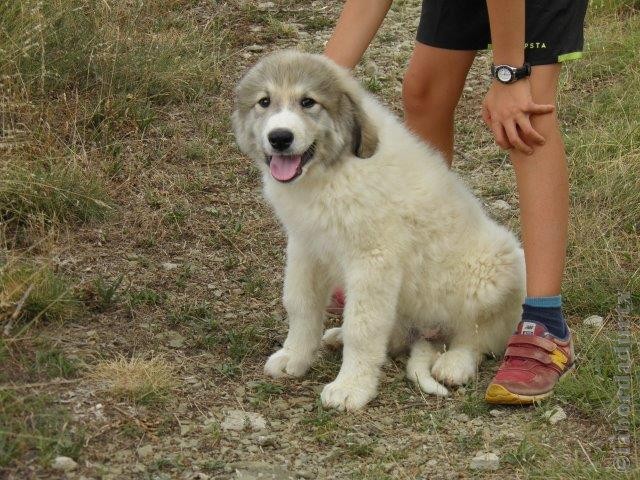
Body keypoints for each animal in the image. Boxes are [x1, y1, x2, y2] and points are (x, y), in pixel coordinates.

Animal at [232, 52, 524, 412]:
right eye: (264, 102)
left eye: (308, 102)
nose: (280, 138)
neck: (332, 172)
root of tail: (427, 334)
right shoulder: (305, 246)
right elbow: (299, 303)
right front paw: (294, 356)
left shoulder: (373, 260)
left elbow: (363, 326)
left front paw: (351, 387)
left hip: (495, 269)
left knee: (478, 335)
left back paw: (456, 362)